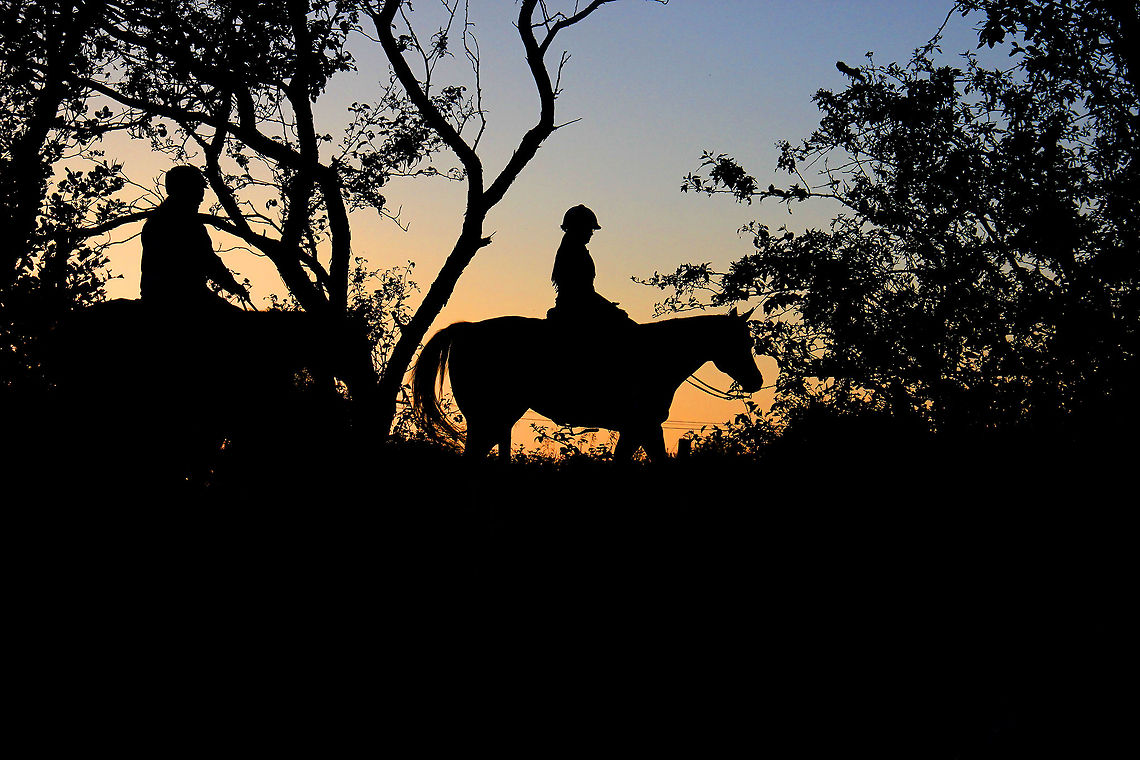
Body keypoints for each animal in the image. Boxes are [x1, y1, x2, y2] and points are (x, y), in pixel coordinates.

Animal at [412, 307, 764, 462]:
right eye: (740, 342)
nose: (756, 381)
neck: (656, 356)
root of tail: (467, 329)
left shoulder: (636, 429)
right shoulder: (645, 425)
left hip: (496, 418)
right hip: (488, 417)